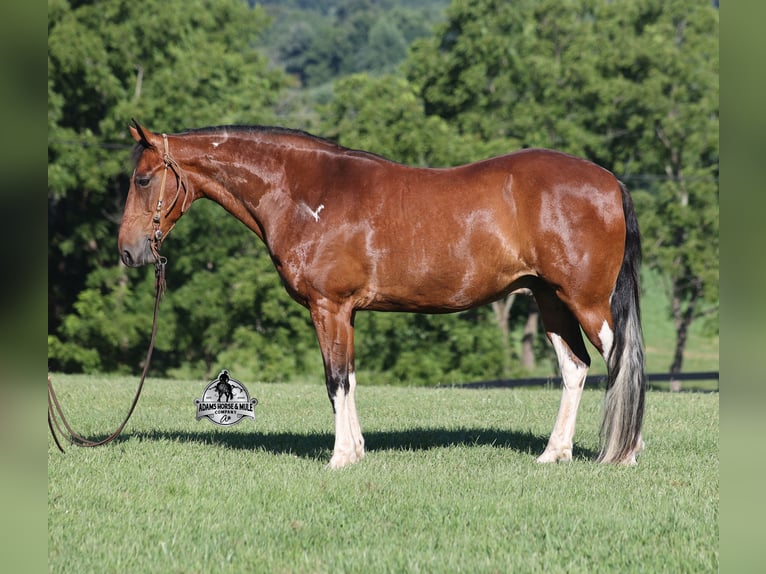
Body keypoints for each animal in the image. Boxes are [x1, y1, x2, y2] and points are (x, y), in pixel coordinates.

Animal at [118, 121, 646, 468]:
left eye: (142, 179)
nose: (128, 251)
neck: (307, 194)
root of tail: (609, 181)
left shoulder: (328, 307)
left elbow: (334, 380)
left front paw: (339, 458)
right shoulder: (346, 312)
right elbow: (349, 379)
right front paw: (356, 451)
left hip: (585, 302)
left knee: (622, 361)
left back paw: (625, 452)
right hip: (549, 299)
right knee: (575, 367)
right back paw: (554, 454)